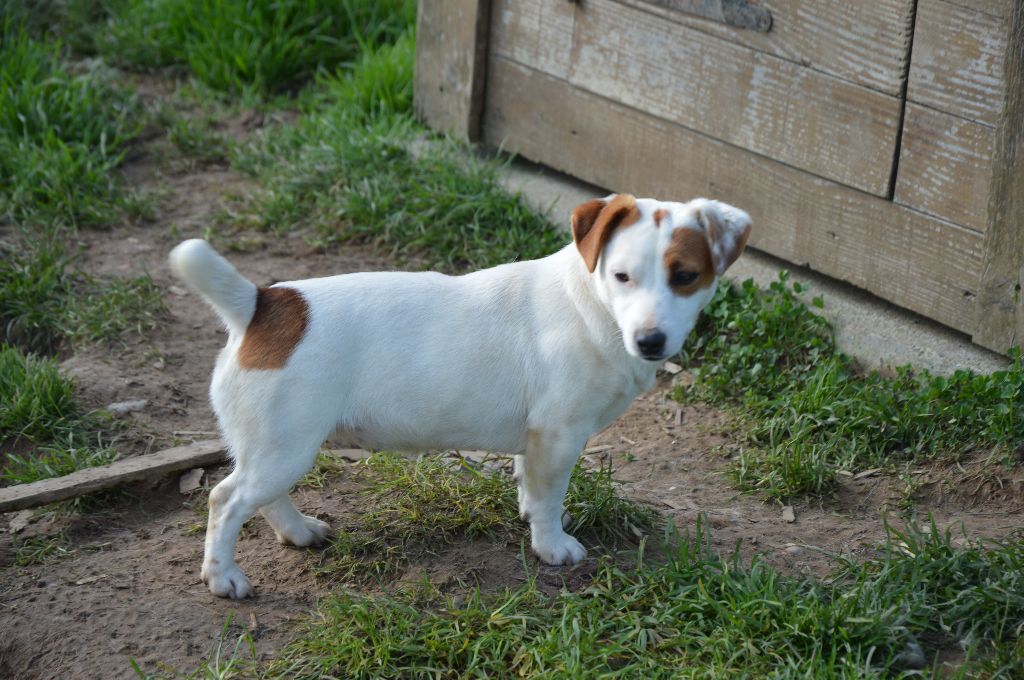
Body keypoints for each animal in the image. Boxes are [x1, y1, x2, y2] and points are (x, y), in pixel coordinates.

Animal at [169, 193, 753, 598]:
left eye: (685, 276)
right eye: (622, 276)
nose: (651, 341)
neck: (591, 303)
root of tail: (262, 305)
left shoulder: (537, 442)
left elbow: (530, 487)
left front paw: (529, 516)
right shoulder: (559, 435)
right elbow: (550, 497)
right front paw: (552, 545)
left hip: (277, 448)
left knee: (263, 498)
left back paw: (298, 533)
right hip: (285, 447)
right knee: (227, 501)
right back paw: (223, 578)